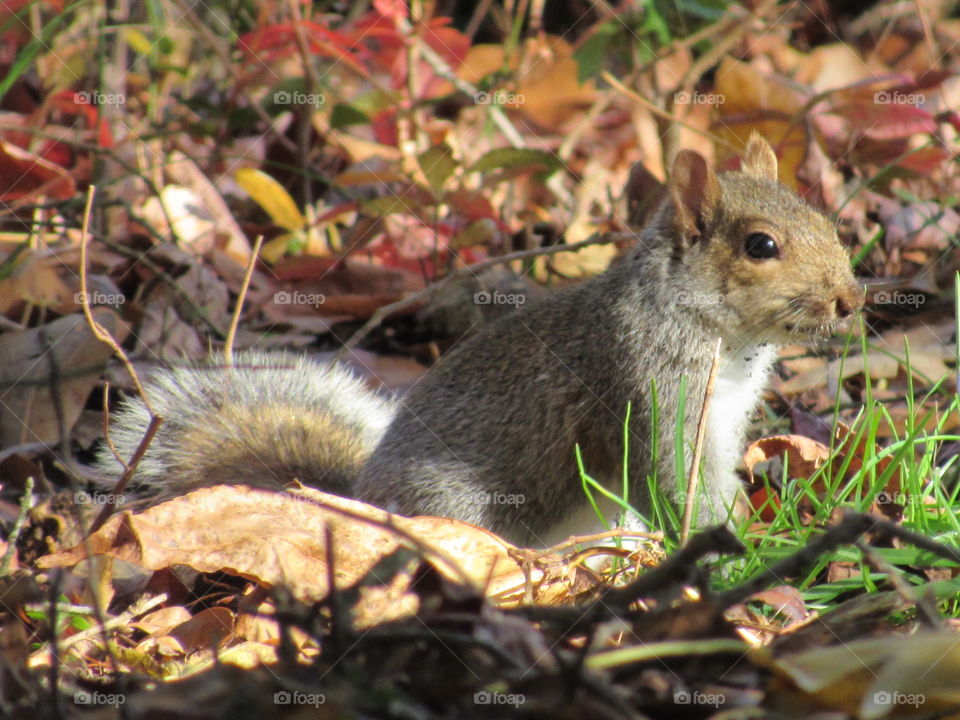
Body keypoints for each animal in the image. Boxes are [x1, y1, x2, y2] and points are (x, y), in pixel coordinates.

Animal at [96, 134, 863, 547]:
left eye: (824, 216)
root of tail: (361, 502)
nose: (851, 299)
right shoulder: (644, 392)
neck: (720, 338)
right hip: (457, 507)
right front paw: (735, 553)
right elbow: (672, 481)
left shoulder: (726, 418)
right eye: (761, 245)